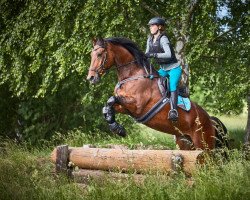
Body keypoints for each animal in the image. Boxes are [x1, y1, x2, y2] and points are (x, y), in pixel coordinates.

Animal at [87, 37, 228, 150]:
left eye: (100, 54)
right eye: (91, 55)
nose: (91, 78)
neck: (132, 75)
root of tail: (210, 119)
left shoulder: (137, 106)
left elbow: (111, 100)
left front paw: (118, 128)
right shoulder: (126, 108)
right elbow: (108, 106)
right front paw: (117, 128)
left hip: (203, 143)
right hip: (185, 142)